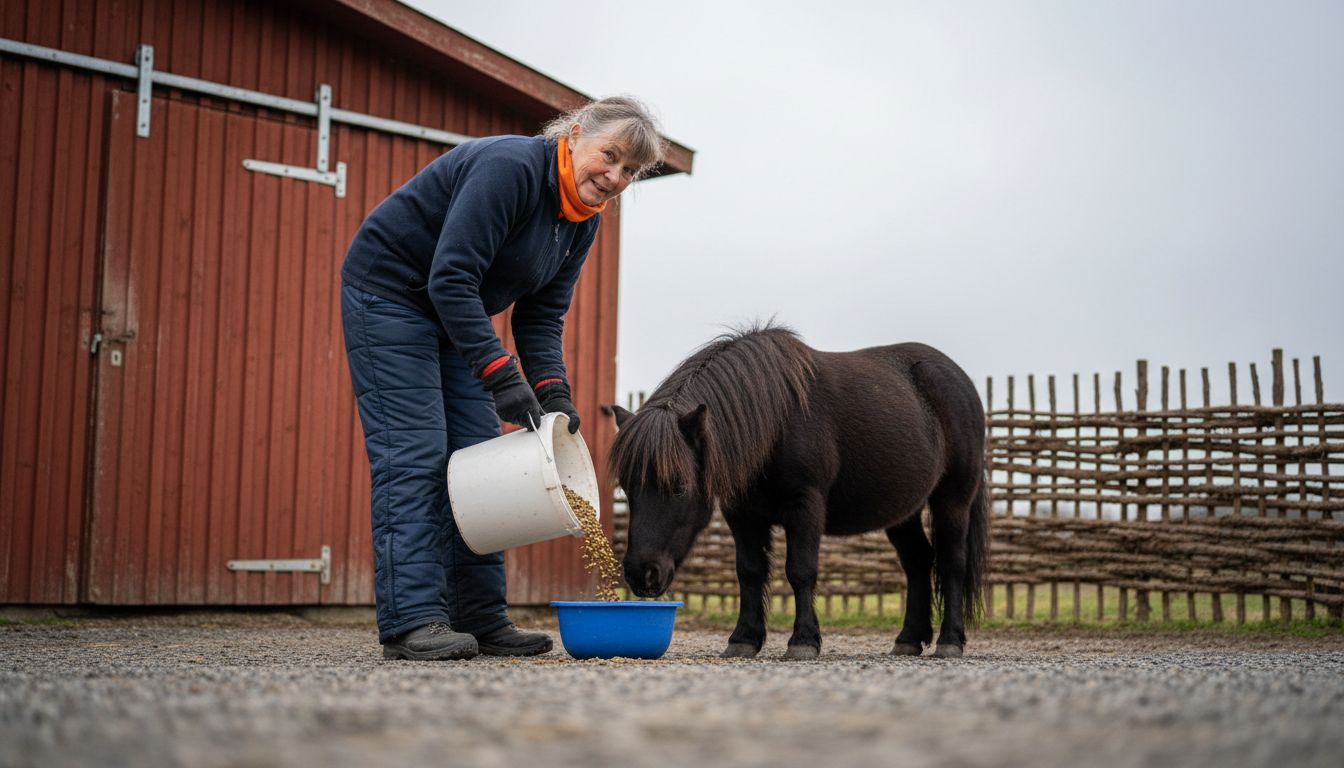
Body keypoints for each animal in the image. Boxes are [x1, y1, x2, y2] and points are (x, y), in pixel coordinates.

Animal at [608, 325, 989, 659]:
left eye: (679, 486)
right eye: (627, 488)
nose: (641, 574)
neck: (777, 420)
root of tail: (960, 381)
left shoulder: (805, 508)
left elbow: (800, 570)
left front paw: (803, 641)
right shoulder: (742, 515)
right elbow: (749, 571)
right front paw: (743, 639)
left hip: (953, 500)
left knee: (952, 562)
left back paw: (949, 641)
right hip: (902, 512)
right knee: (917, 562)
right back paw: (909, 639)